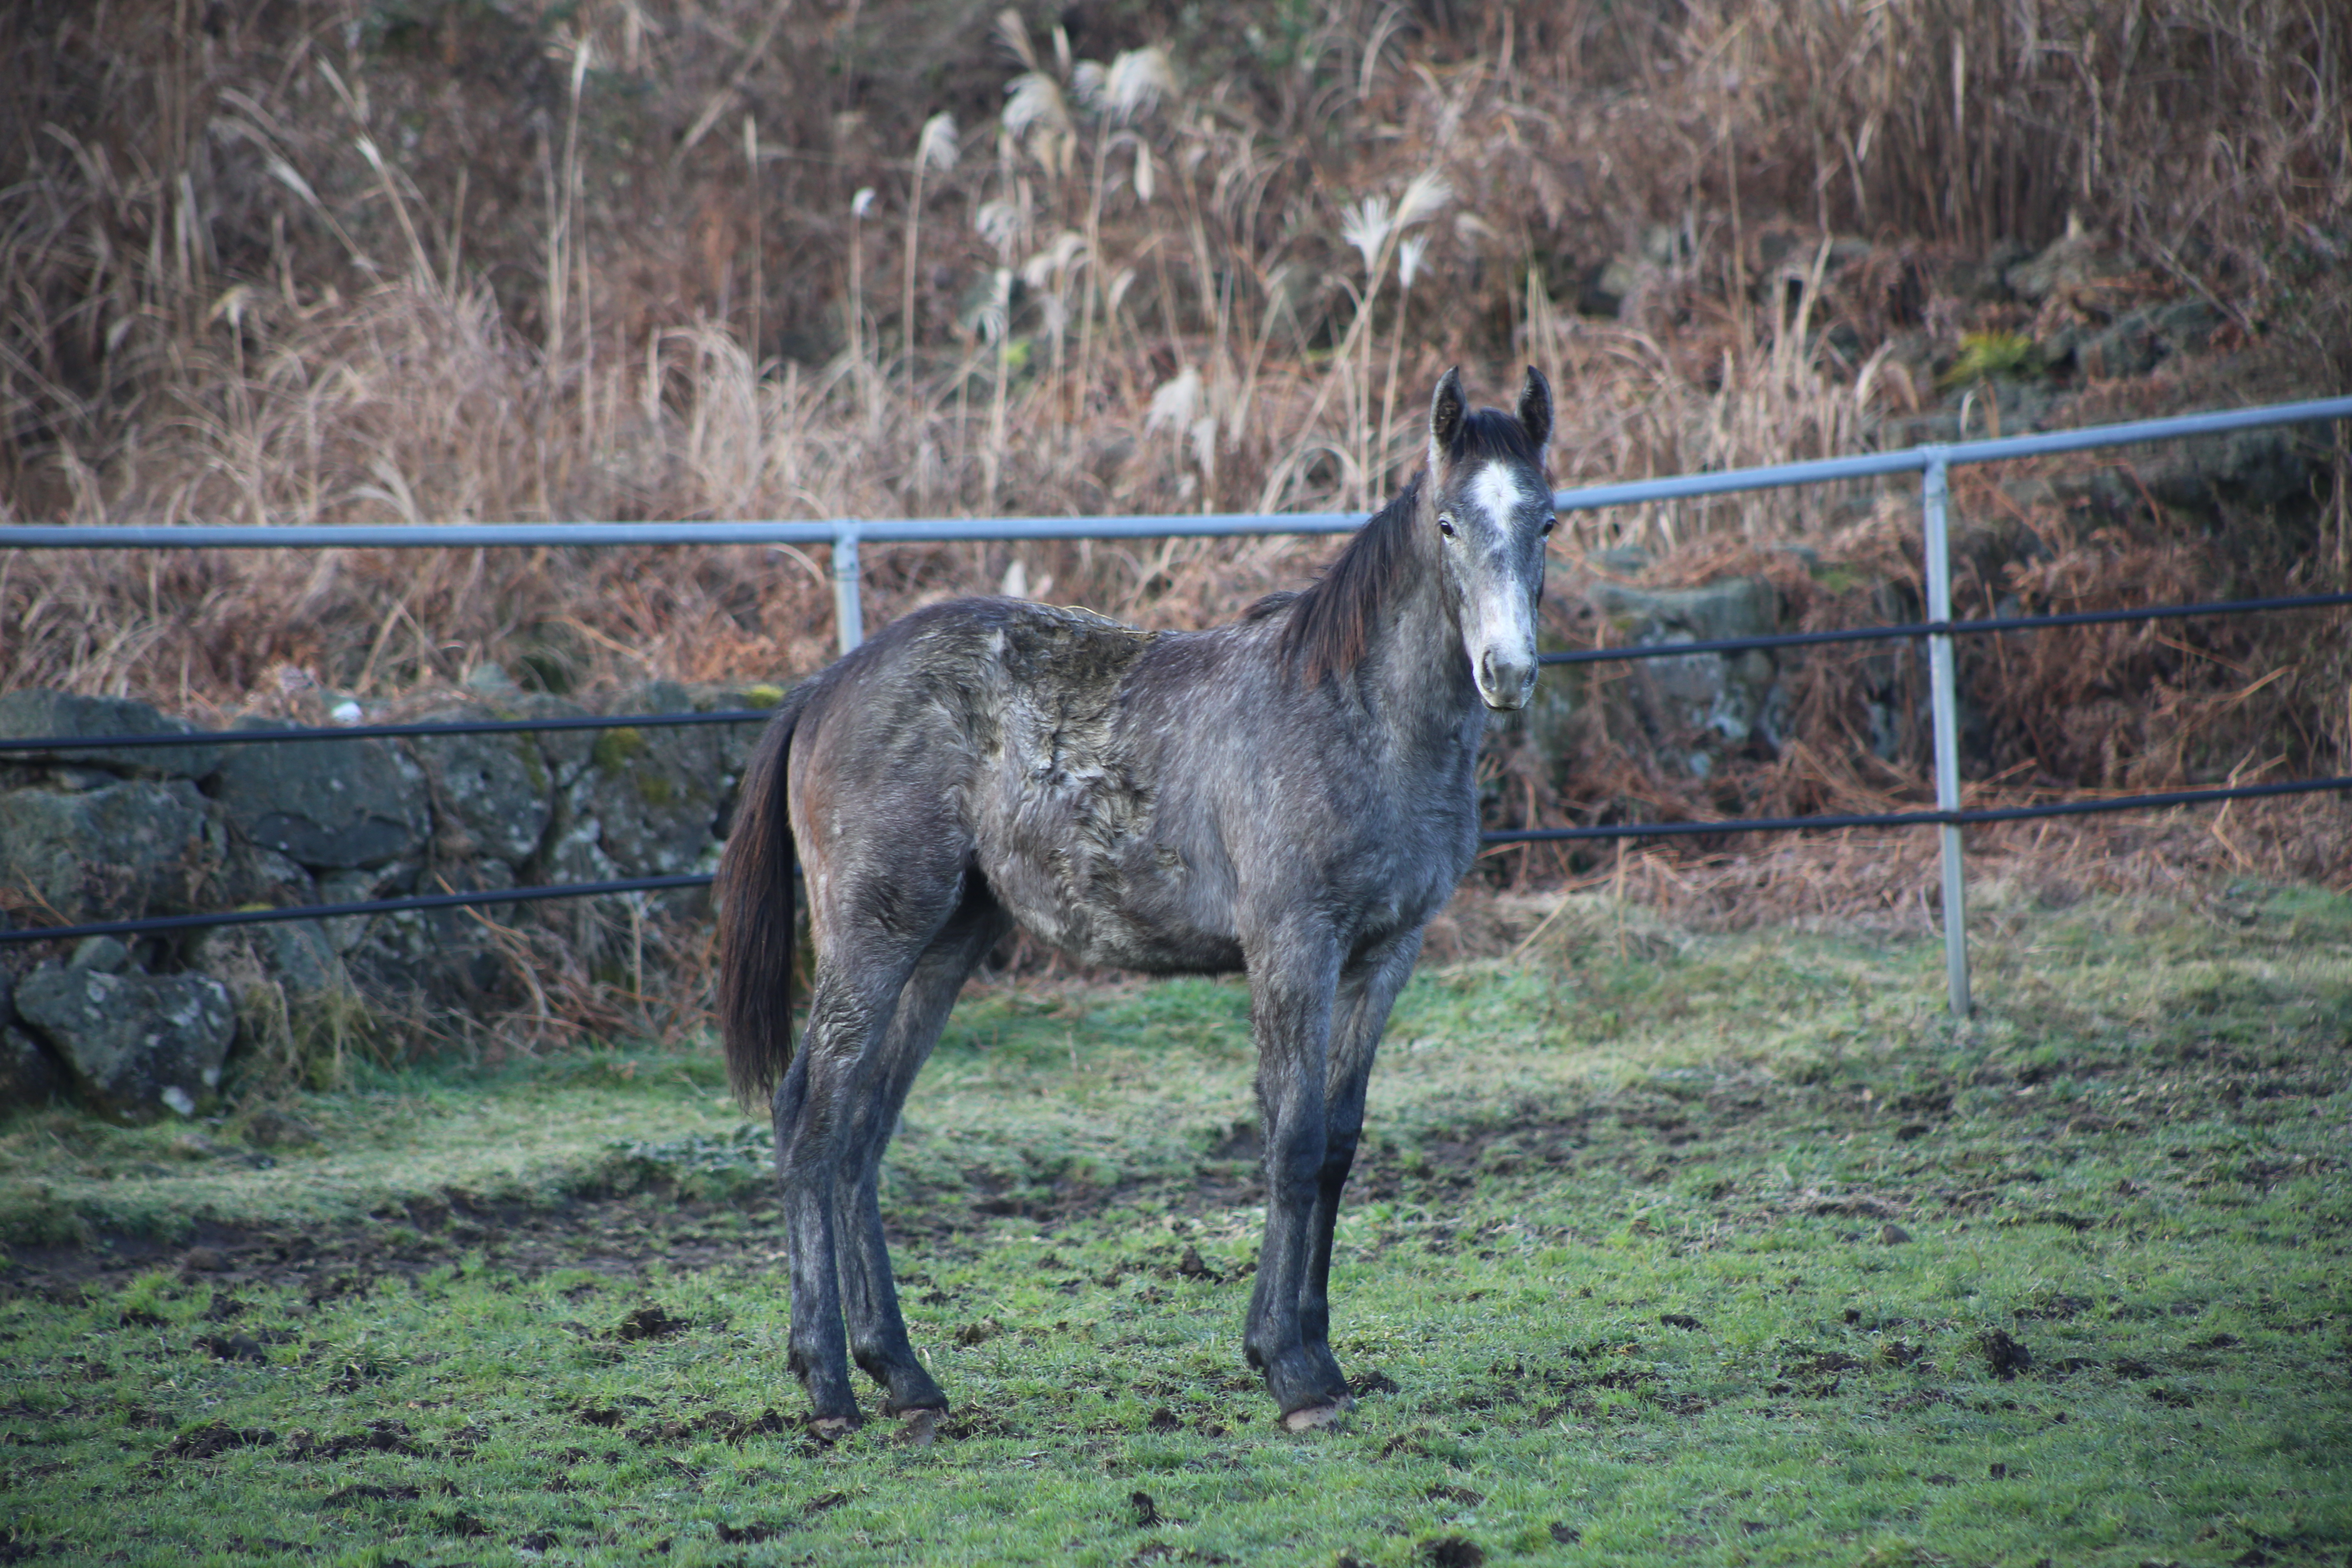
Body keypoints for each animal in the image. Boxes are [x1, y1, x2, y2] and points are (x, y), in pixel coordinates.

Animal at [724, 364, 1552, 1439]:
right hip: (872, 936)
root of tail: (824, 686)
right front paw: (1289, 1370)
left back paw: (904, 1374)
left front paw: (1322, 1358)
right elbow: (1290, 1141)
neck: (1359, 716)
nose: (1508, 672)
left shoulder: (1385, 955)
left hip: (943, 942)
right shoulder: (1292, 947)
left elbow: (1335, 1144)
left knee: (861, 1131)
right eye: (1449, 523)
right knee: (808, 1124)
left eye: (1545, 518)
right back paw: (826, 1385)